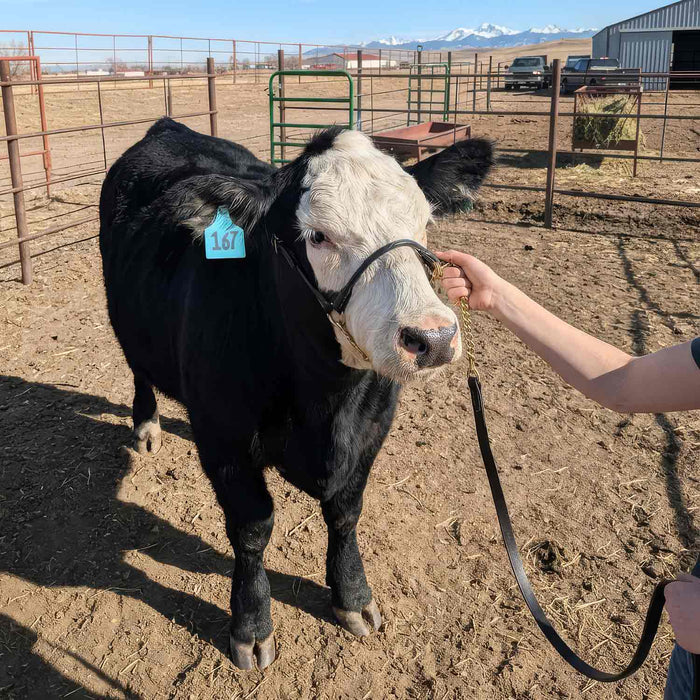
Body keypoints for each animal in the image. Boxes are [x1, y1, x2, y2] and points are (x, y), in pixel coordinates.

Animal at [99, 118, 493, 670]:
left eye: (423, 223)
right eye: (318, 236)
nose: (433, 337)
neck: (326, 405)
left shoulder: (372, 429)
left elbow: (345, 513)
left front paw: (353, 597)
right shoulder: (225, 440)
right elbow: (252, 528)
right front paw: (251, 625)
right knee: (138, 370)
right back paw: (147, 426)